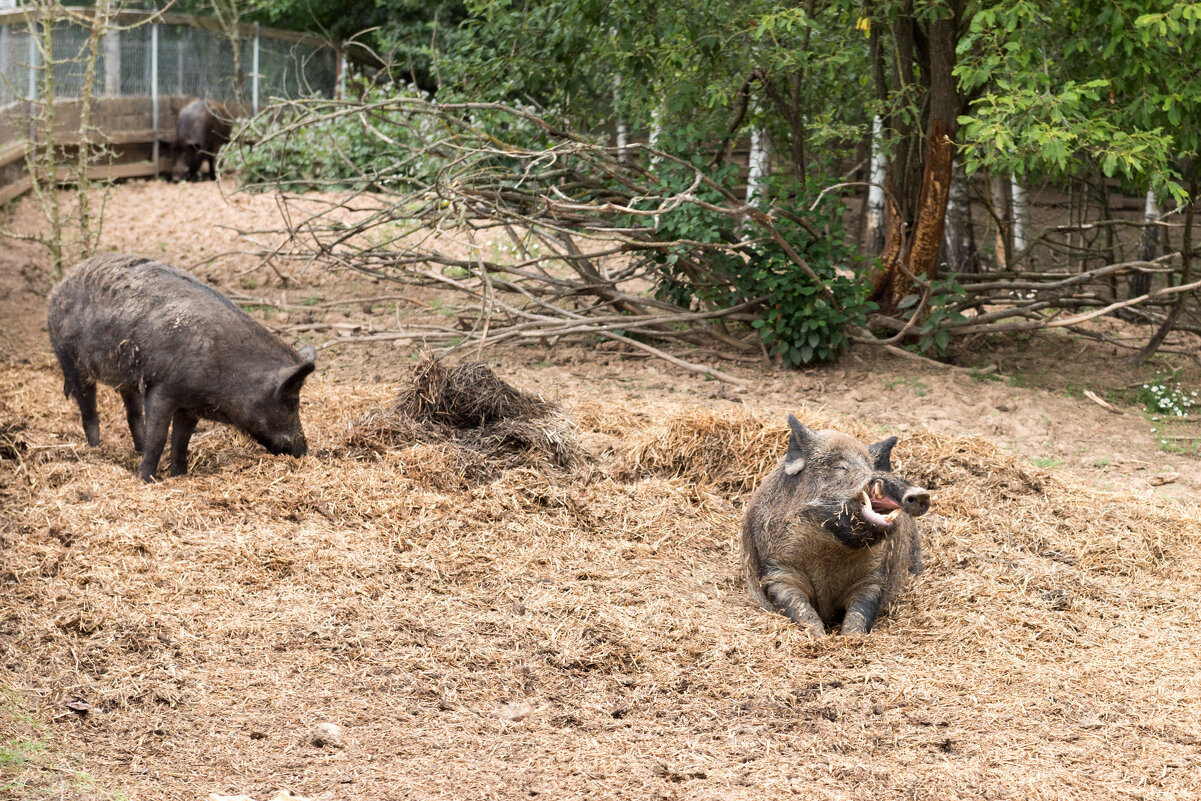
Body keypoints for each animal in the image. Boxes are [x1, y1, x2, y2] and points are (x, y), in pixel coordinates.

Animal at [49, 255, 317, 482]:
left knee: (132, 413)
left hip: (128, 378)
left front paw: (179, 476)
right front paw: (147, 479)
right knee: (88, 409)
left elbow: (181, 440)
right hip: (69, 359)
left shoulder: (190, 406)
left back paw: (136, 449)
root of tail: (61, 285)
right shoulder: (161, 391)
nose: (304, 451)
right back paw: (95, 449)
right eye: (293, 402)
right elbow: (158, 439)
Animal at [739, 417, 927, 634]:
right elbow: (800, 609)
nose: (921, 493)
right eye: (840, 467)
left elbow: (859, 613)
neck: (829, 552)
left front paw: (851, 637)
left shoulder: (873, 578)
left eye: (870, 468)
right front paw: (818, 635)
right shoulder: (776, 571)